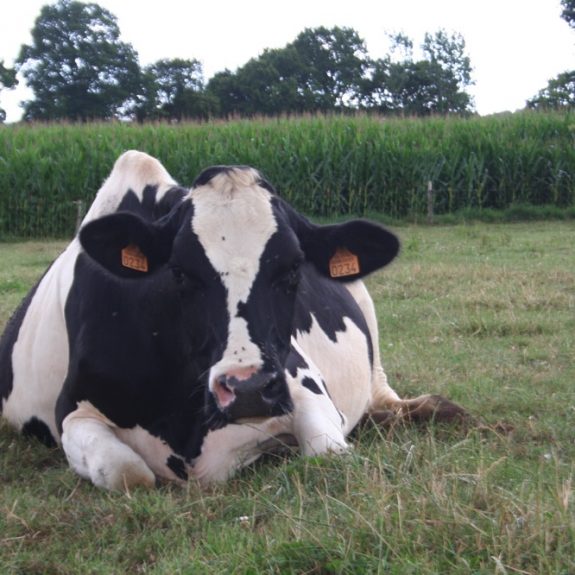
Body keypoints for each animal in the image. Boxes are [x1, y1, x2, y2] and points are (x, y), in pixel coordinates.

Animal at [0, 150, 468, 490]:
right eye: (180, 272)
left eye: (293, 269)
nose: (247, 389)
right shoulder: (72, 411)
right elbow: (127, 473)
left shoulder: (300, 381)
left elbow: (328, 453)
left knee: (384, 396)